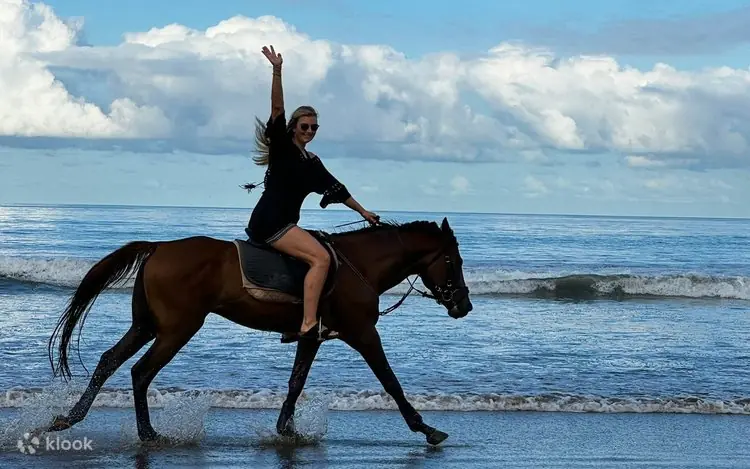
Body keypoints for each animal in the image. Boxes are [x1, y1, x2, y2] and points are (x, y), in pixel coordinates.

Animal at [44, 217, 473, 446]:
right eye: (453, 261)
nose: (464, 306)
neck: (359, 266)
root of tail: (159, 247)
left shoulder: (310, 337)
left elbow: (296, 382)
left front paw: (286, 429)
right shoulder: (363, 333)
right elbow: (390, 380)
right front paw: (426, 428)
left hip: (147, 325)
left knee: (110, 360)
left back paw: (70, 418)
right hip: (177, 328)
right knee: (141, 371)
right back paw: (148, 434)